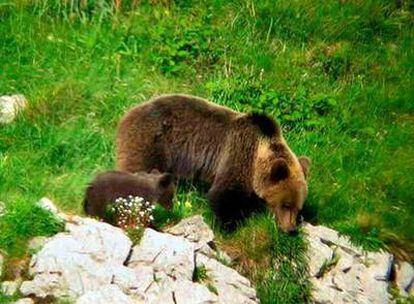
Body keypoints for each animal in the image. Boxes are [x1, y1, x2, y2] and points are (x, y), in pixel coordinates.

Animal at [115, 94, 308, 232]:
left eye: (299, 208)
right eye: (286, 204)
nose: (291, 229)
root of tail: (127, 115)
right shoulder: (238, 153)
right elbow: (226, 194)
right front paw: (228, 225)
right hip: (152, 143)